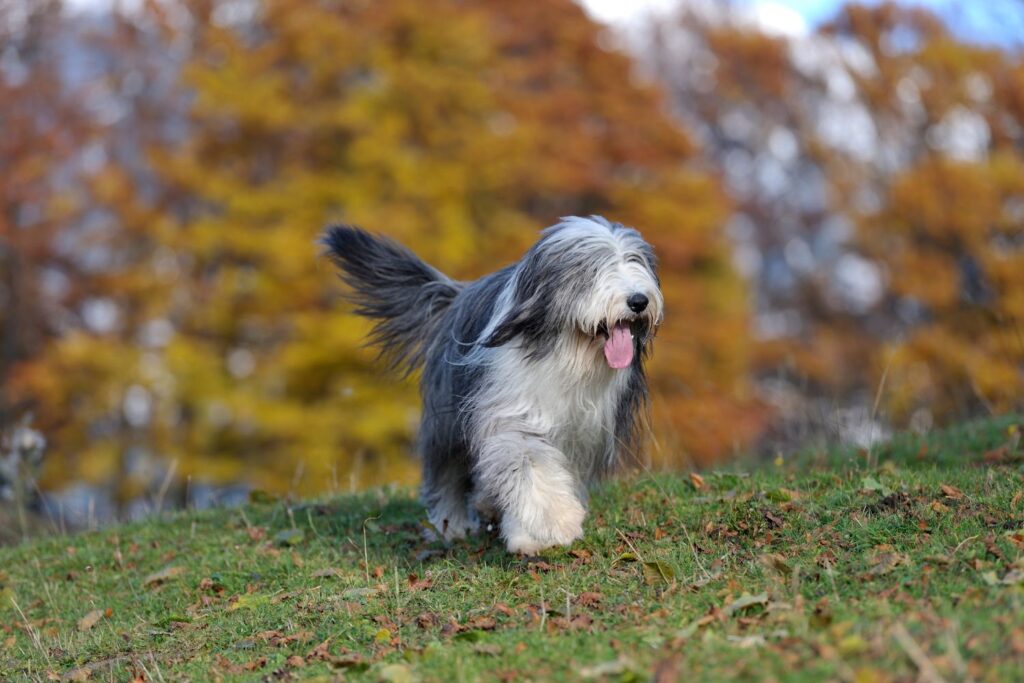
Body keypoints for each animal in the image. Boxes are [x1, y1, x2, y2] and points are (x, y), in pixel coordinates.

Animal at [323, 216, 667, 552]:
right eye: (592, 269)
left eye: (636, 261)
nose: (638, 300)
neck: (568, 357)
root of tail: (457, 293)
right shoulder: (512, 411)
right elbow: (528, 463)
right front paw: (555, 521)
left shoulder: (585, 433)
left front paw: (527, 535)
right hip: (447, 418)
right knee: (447, 470)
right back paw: (450, 525)